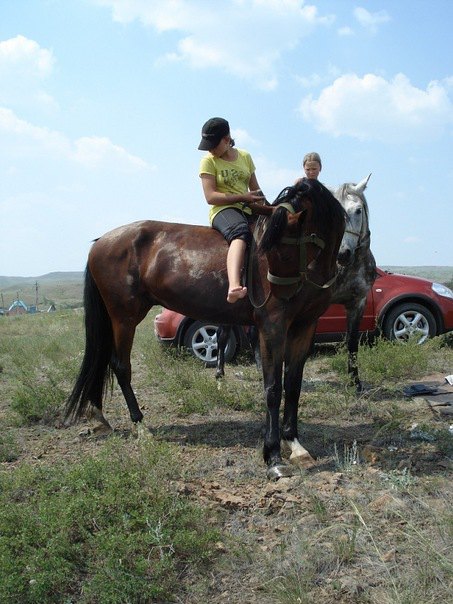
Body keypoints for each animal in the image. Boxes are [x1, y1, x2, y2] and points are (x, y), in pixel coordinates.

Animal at [65, 177, 344, 478]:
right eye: (269, 249)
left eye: (286, 250)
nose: (273, 296)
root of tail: (101, 243)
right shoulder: (272, 326)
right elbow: (273, 388)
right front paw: (273, 456)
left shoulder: (304, 326)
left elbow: (293, 385)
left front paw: (294, 443)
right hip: (124, 318)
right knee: (120, 366)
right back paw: (140, 426)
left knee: (103, 360)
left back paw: (99, 416)